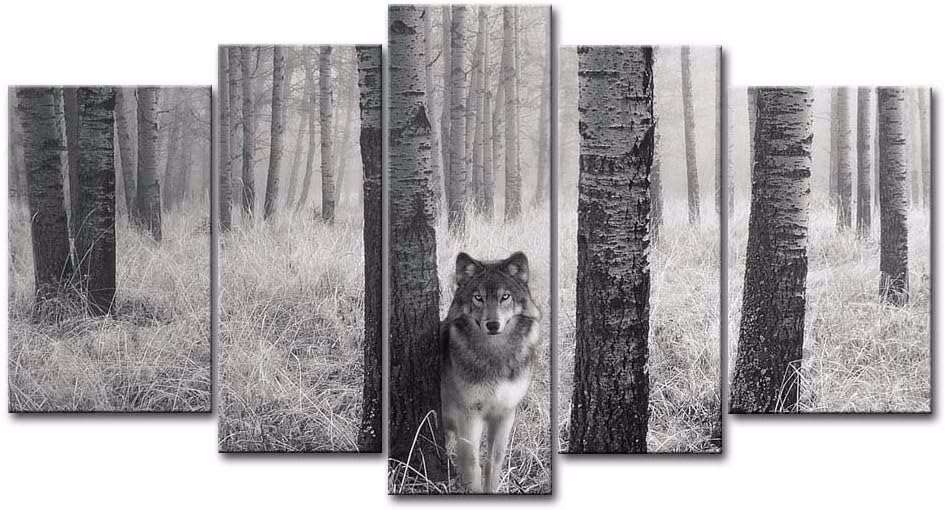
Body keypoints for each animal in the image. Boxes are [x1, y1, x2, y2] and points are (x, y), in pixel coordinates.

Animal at [440, 251, 542, 493]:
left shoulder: (505, 413)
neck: (495, 357)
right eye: (478, 297)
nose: (493, 324)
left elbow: (494, 462)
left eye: (505, 297)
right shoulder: (469, 415)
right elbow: (472, 465)